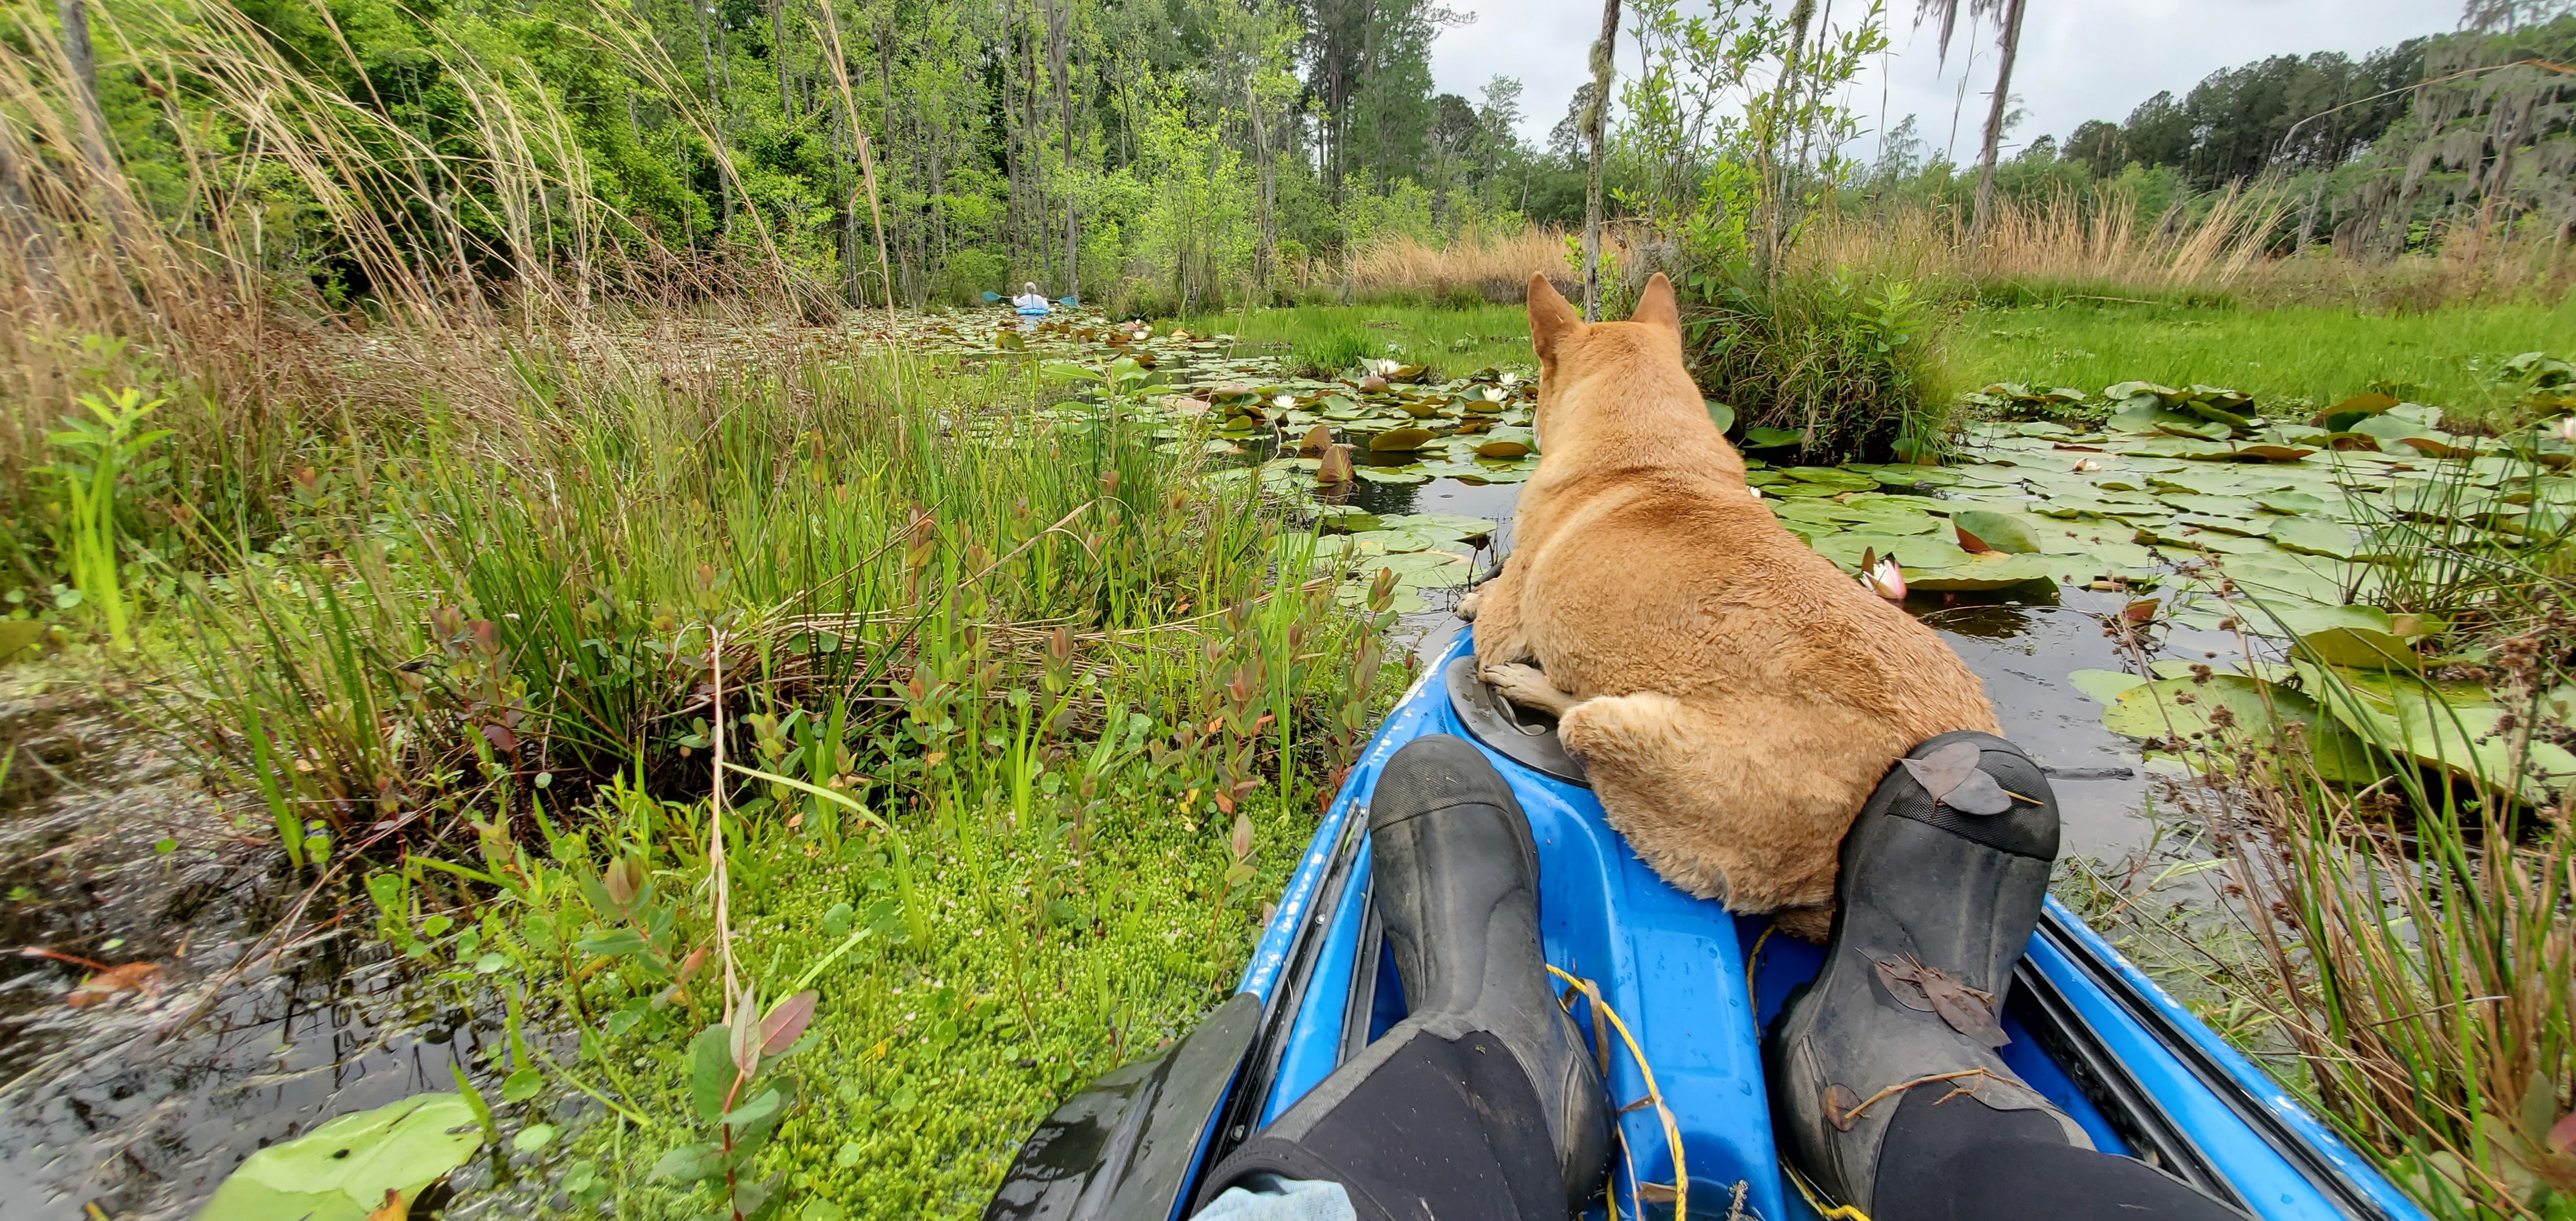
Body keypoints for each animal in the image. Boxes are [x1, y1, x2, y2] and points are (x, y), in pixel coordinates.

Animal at [1473, 272, 1988, 932]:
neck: (1648, 457)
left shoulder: (1505, 623)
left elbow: (1489, 613)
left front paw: (1474, 605)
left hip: (1610, 729)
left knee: (1572, 712)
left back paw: (1529, 685)